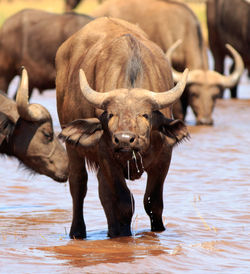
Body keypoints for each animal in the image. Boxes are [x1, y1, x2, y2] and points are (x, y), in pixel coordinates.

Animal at [56, 17, 189, 239]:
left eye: (145, 114)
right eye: (111, 114)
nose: (124, 139)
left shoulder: (164, 158)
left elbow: (153, 203)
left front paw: (157, 231)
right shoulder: (107, 157)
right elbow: (124, 203)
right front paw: (124, 235)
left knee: (103, 193)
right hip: (72, 147)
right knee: (78, 185)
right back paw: (78, 232)